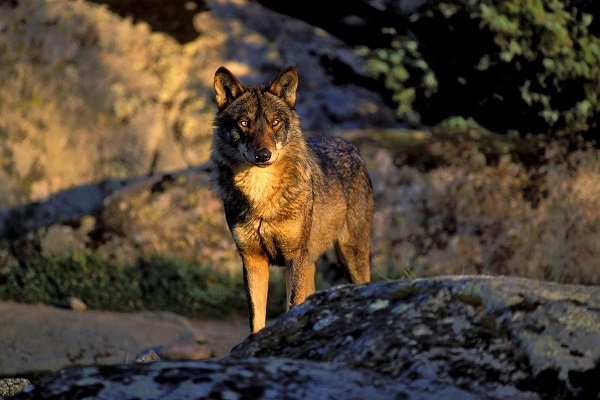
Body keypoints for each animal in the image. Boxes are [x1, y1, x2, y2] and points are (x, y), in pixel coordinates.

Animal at [209, 66, 372, 334]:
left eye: (275, 122)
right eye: (244, 123)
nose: (263, 155)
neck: (262, 196)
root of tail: (349, 144)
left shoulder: (294, 257)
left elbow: (291, 306)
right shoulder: (252, 259)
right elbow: (256, 318)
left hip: (351, 254)